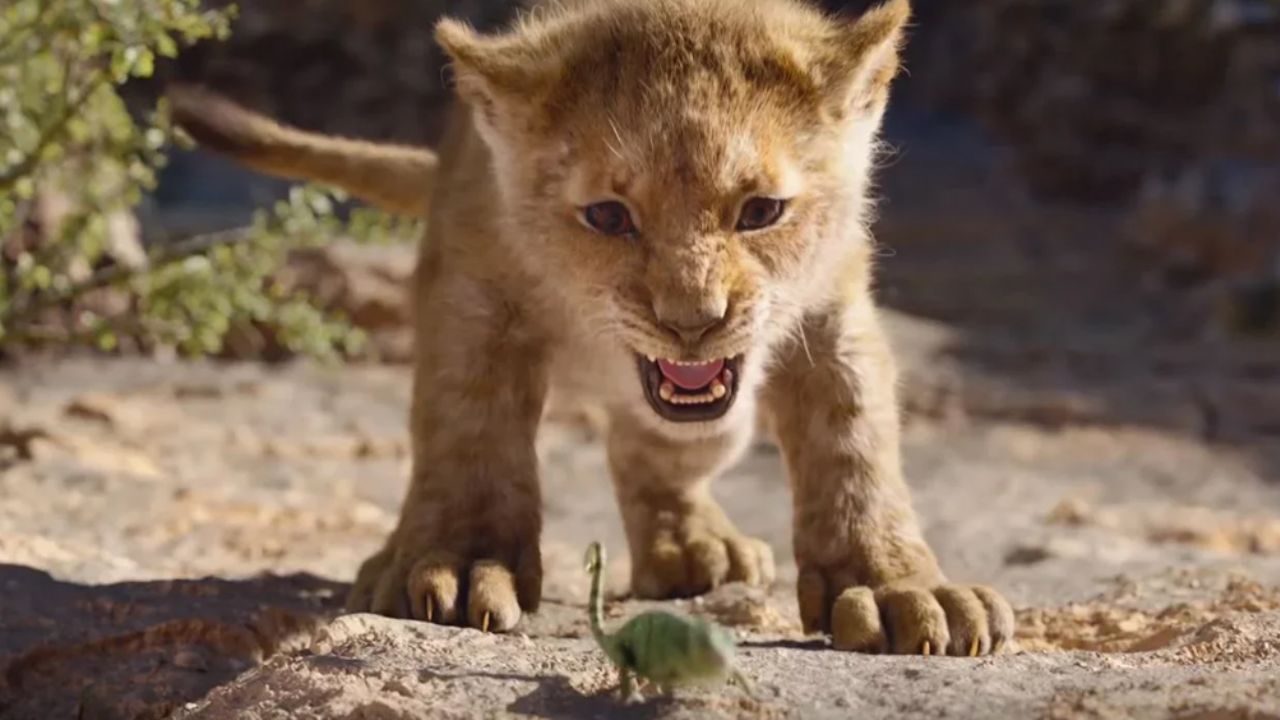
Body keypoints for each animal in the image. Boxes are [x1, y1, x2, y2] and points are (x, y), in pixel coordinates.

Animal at [169, 0, 1014, 655]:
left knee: (654, 453)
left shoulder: (832, 313)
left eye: (762, 211)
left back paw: (695, 548)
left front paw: (896, 587)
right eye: (608, 217)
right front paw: (459, 564)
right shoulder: (472, 292)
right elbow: (469, 431)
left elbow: (855, 446)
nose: (692, 323)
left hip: (717, 421)